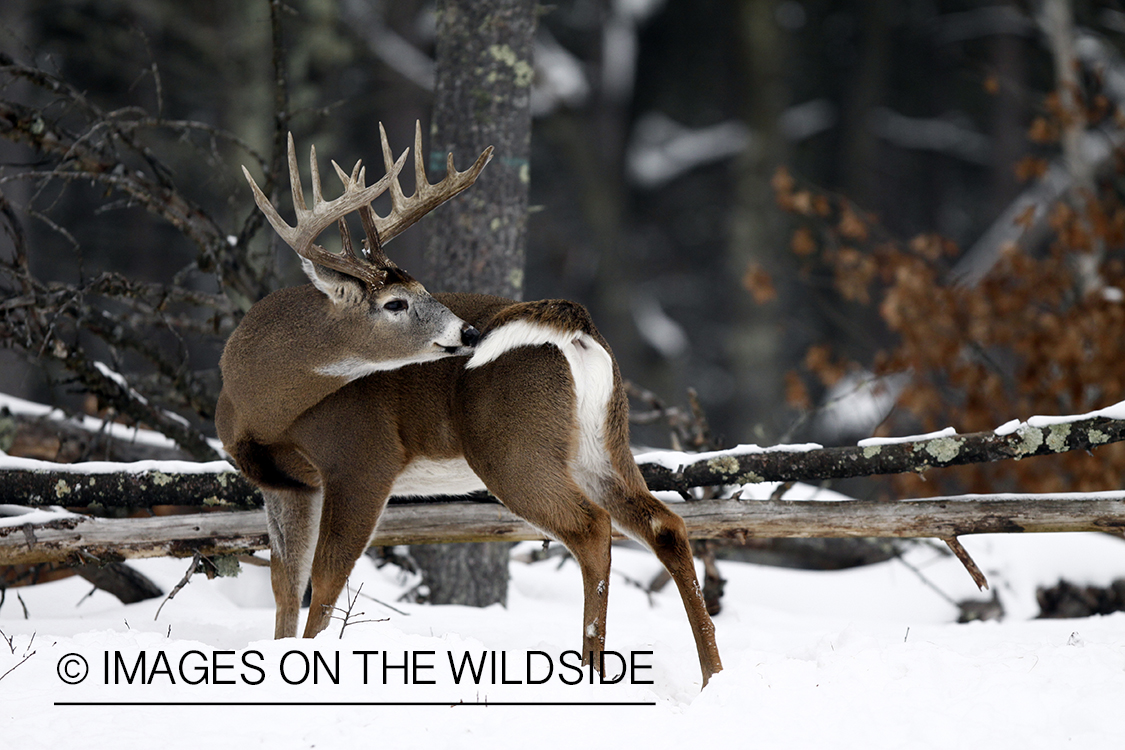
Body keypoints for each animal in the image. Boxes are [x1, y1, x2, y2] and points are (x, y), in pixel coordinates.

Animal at [214, 123, 724, 688]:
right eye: (396, 302)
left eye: (422, 289)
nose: (469, 333)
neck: (260, 405)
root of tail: (573, 324)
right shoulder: (285, 482)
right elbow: (285, 584)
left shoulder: (363, 457)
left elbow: (325, 580)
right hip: (601, 442)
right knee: (666, 526)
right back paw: (713, 675)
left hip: (509, 447)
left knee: (592, 528)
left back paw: (592, 671)